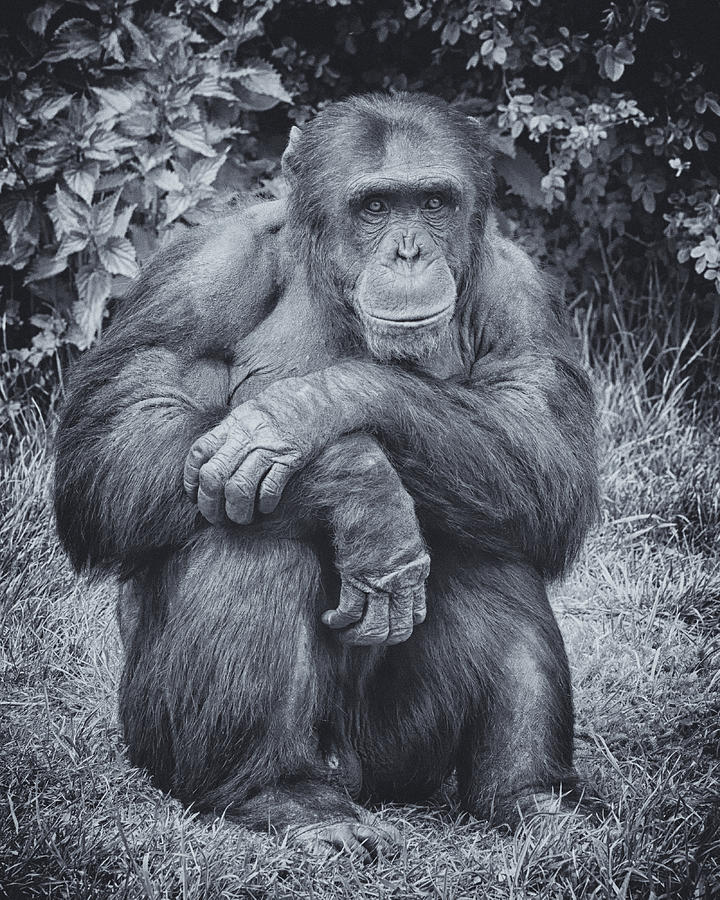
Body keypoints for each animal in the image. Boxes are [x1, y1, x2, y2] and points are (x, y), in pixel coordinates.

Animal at [54, 93, 596, 856]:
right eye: (375, 206)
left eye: (433, 202)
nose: (409, 250)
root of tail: (353, 779)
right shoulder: (198, 274)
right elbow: (123, 437)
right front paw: (358, 486)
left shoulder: (519, 290)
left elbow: (546, 450)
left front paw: (312, 408)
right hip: (156, 742)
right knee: (245, 527)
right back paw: (282, 795)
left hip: (404, 758)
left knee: (497, 546)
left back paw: (530, 796)